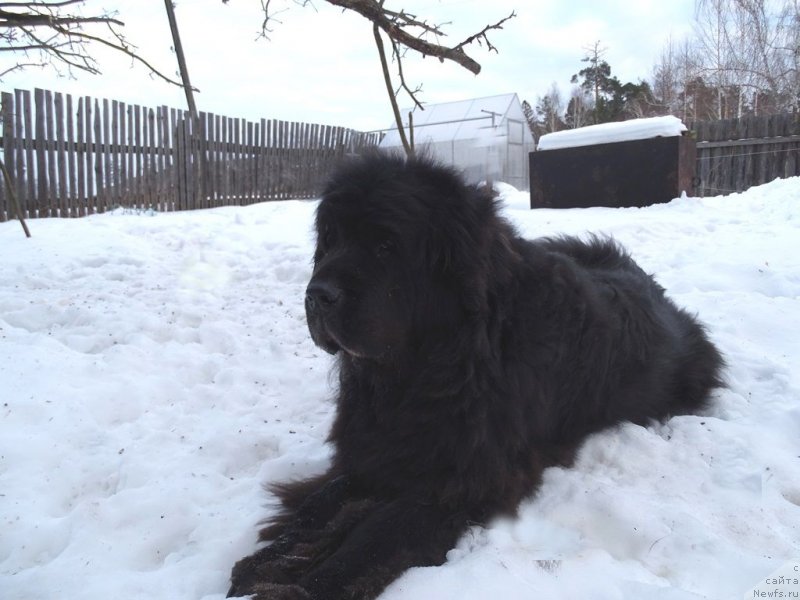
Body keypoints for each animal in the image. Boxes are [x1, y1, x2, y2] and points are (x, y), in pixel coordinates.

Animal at [227, 151, 724, 600]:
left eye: (386, 246)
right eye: (330, 240)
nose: (316, 295)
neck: (427, 365)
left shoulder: (463, 478)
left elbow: (376, 534)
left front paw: (308, 585)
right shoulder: (382, 447)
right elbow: (324, 500)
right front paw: (272, 557)